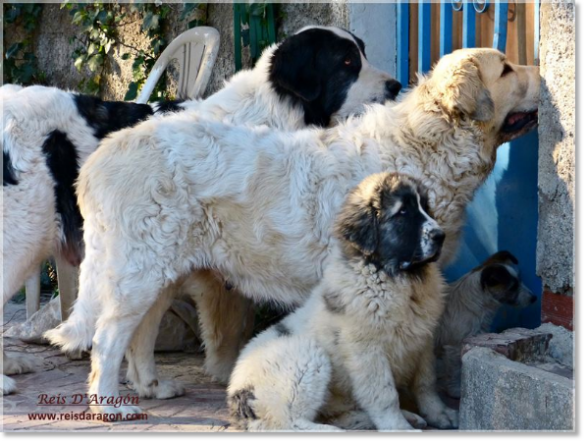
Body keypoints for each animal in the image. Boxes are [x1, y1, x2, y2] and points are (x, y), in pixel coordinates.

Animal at [1, 26, 402, 398]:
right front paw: (228, 372)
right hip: (24, 241)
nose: (397, 85)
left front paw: (151, 385)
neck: (276, 111)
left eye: (362, 53)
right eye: (346, 63)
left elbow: (147, 330)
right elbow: (230, 324)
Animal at [227, 174, 456, 434]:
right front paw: (399, 429)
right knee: (285, 422)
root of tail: (236, 394)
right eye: (403, 212)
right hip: (305, 356)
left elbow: (426, 383)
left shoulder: (423, 340)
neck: (396, 278)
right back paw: (331, 431)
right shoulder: (367, 349)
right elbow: (384, 394)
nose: (440, 235)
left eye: (425, 207)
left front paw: (439, 413)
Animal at [434, 251, 532, 400]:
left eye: (520, 280)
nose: (534, 298)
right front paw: (456, 390)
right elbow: (456, 370)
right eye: (513, 287)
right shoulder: (454, 347)